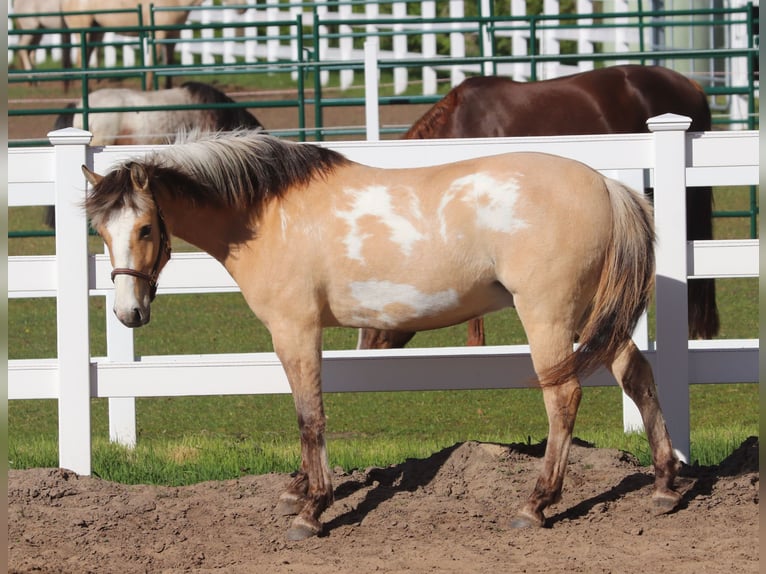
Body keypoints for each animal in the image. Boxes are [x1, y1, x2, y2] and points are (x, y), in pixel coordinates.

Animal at [82, 130, 682, 540]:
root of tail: (608, 184)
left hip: (549, 315)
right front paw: (299, 490)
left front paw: (312, 509)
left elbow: (309, 415)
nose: (128, 313)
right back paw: (663, 486)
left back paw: (535, 504)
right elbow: (306, 414)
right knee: (639, 377)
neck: (270, 215)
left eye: (145, 228)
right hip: (592, 316)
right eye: (100, 231)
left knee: (564, 398)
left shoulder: (295, 329)